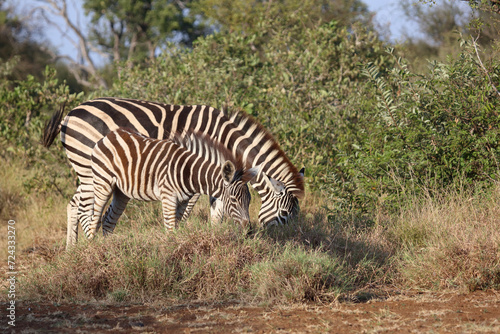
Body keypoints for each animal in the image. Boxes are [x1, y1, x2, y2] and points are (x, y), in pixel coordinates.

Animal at [85, 127, 258, 237]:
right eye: (234, 200)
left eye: (249, 200)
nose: (248, 231)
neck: (189, 171)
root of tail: (110, 134)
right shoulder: (168, 197)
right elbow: (170, 230)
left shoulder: (183, 201)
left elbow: (176, 227)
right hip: (103, 183)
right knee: (94, 221)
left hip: (121, 192)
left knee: (108, 220)